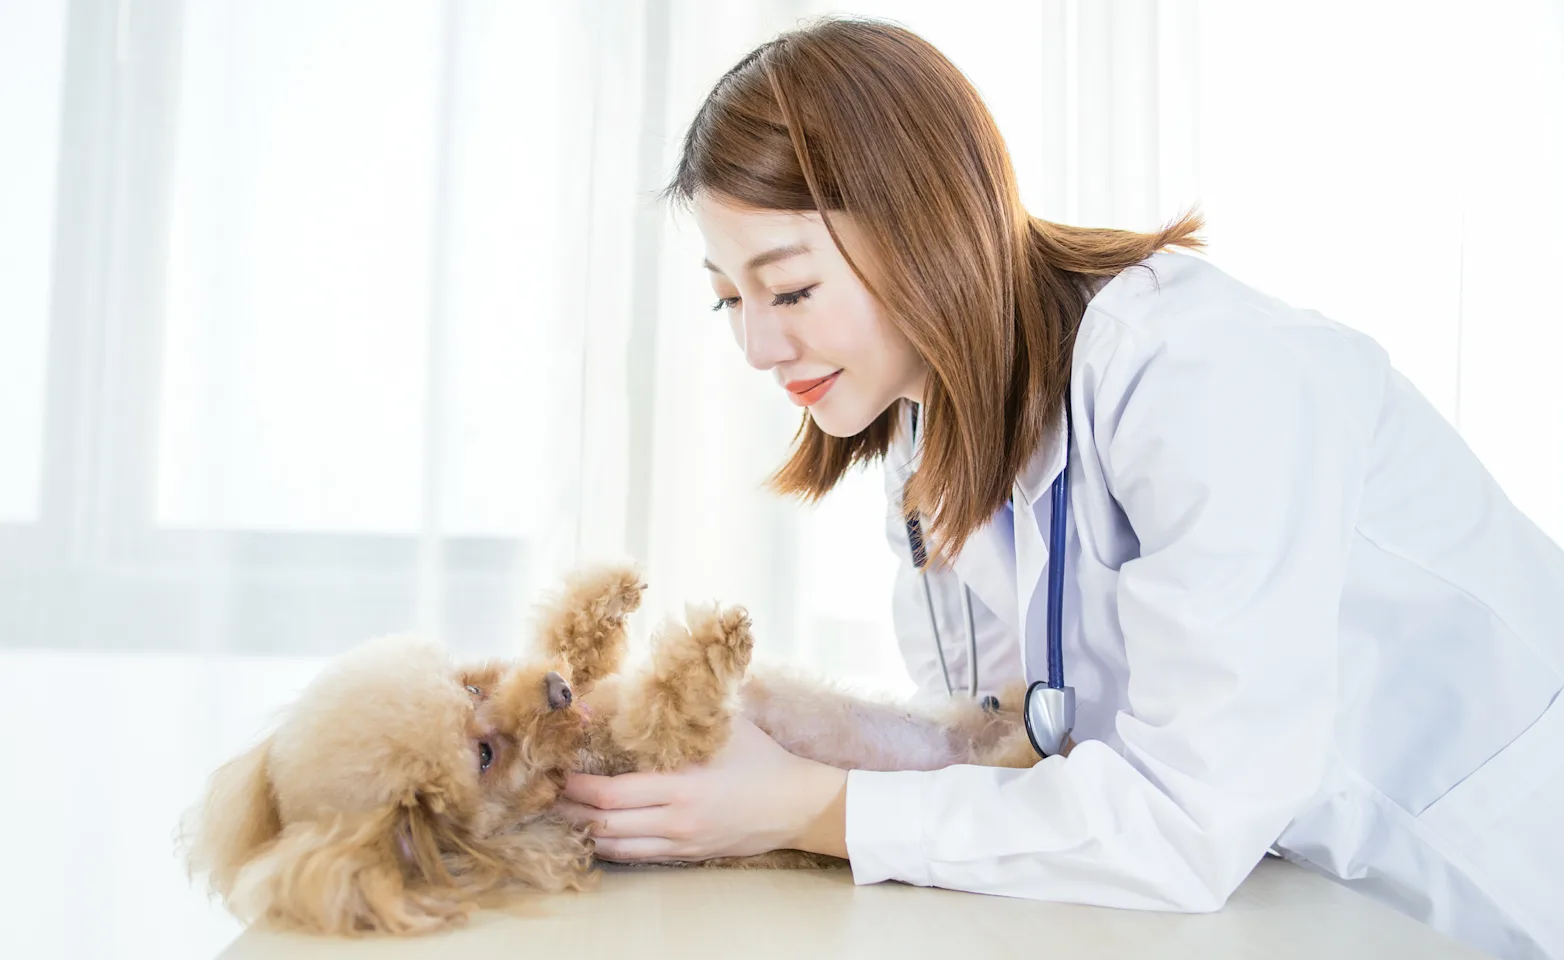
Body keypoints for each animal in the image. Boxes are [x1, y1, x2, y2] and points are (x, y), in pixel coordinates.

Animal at [182, 569, 1038, 938]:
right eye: (483, 755)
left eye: (469, 690)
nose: (556, 693)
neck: (580, 746)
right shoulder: (664, 749)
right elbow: (672, 700)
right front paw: (718, 638)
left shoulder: (590, 680)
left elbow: (573, 632)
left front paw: (610, 593)